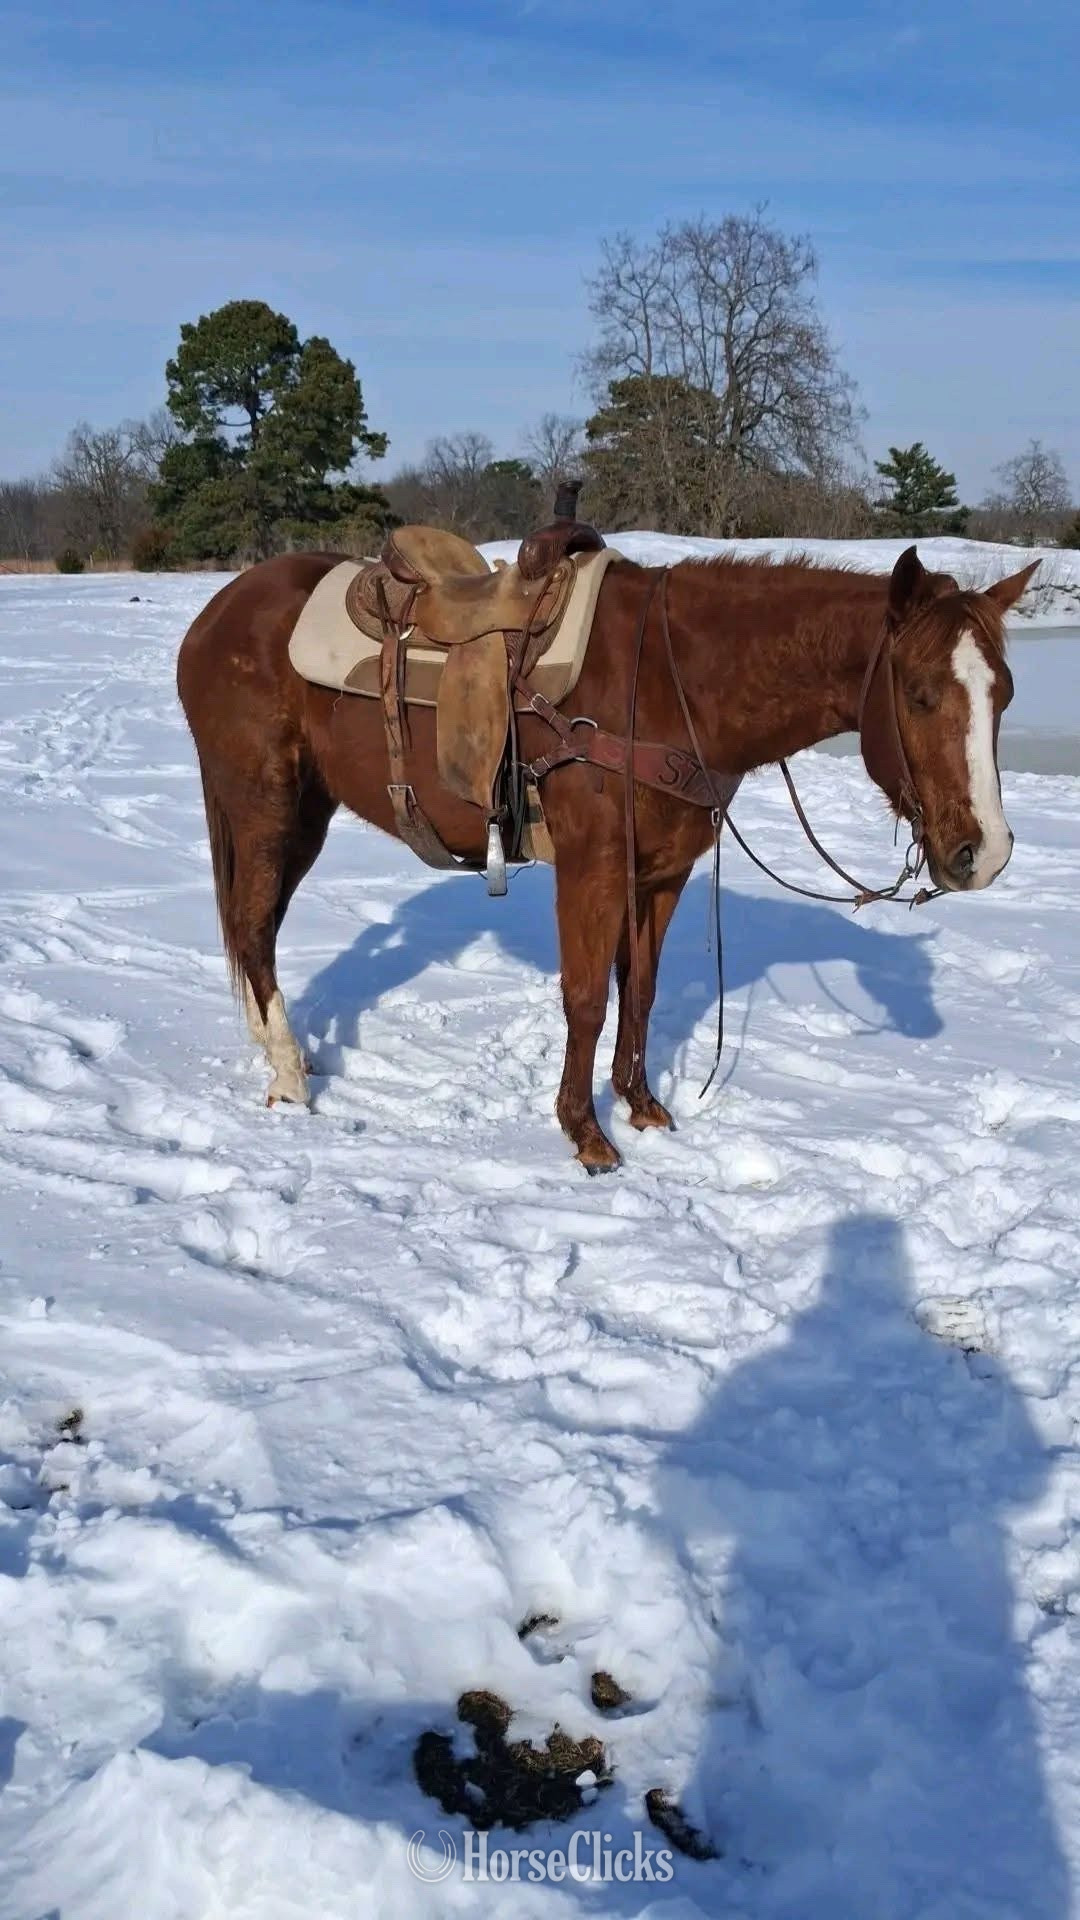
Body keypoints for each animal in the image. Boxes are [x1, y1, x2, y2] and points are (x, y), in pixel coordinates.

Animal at [177, 542, 1035, 1171]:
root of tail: (217, 612)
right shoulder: (591, 869)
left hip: (304, 812)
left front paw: (641, 1105)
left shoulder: (661, 874)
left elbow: (642, 990)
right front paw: (584, 1133)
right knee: (253, 926)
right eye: (920, 693)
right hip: (263, 805)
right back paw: (289, 1079)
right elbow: (587, 998)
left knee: (257, 931)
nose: (983, 853)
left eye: (1005, 693)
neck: (669, 684)